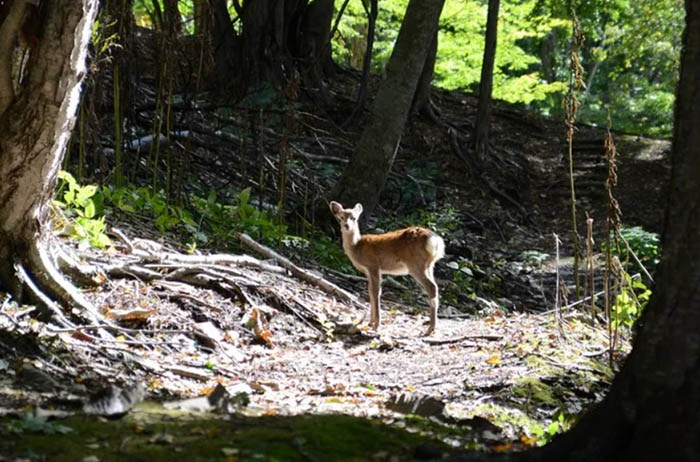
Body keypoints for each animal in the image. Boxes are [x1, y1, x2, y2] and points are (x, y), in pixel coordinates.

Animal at [330, 200, 446, 334]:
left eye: (354, 218)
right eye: (341, 218)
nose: (346, 225)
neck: (357, 247)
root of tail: (435, 241)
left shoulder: (373, 265)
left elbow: (376, 292)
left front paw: (376, 325)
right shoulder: (368, 271)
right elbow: (370, 292)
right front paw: (370, 322)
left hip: (416, 265)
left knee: (432, 287)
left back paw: (429, 329)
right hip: (429, 265)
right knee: (435, 287)